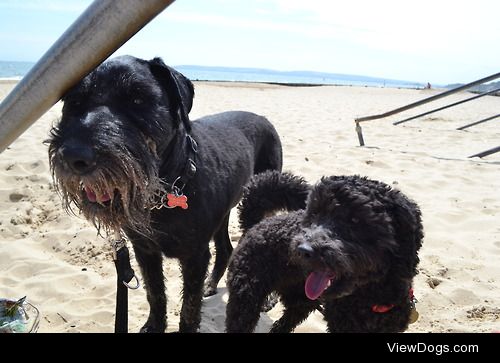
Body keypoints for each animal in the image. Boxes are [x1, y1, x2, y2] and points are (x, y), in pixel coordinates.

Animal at [48, 54, 284, 332]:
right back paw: (211, 285)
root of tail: (264, 119)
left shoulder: (195, 257)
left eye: (138, 99)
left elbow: (189, 307)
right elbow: (155, 292)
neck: (162, 195)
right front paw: (154, 325)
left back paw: (266, 298)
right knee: (225, 248)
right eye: (74, 102)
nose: (75, 156)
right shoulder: (145, 250)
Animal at [227, 172, 422, 334]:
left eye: (355, 219)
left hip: (301, 301)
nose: (303, 250)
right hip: (245, 297)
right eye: (314, 214)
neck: (370, 299)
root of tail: (255, 224)